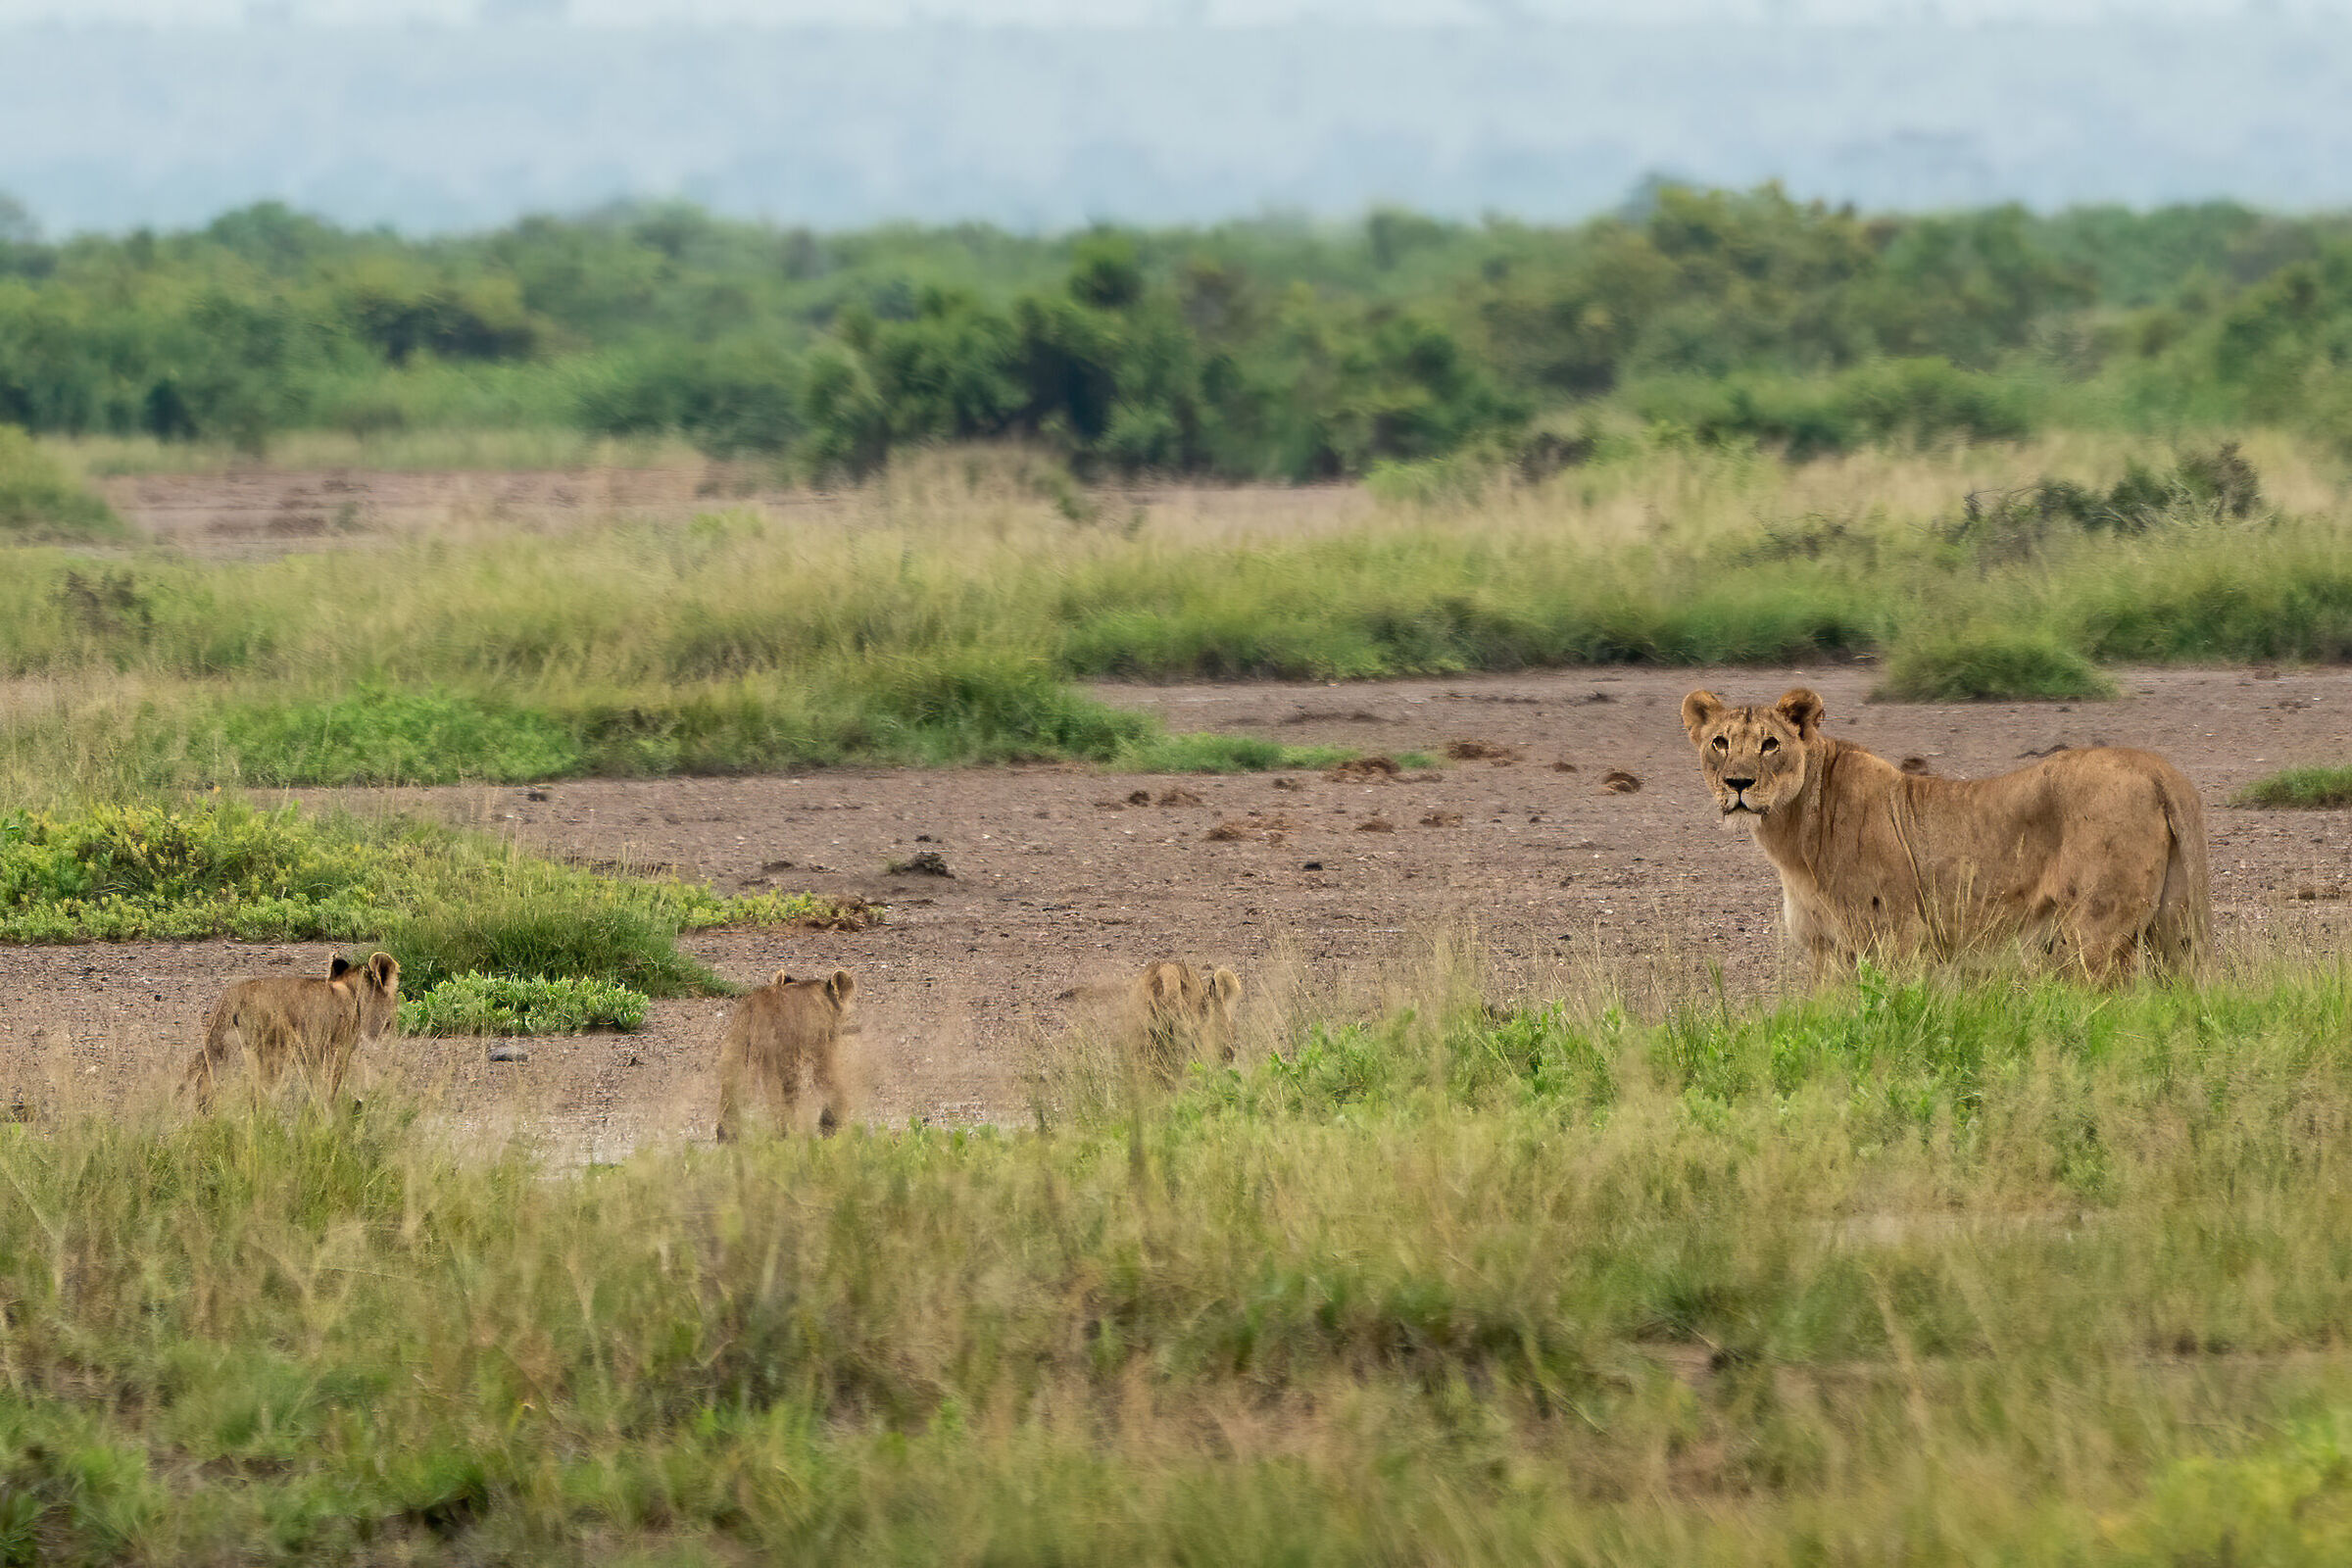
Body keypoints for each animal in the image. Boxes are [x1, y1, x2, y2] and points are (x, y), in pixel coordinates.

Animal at [184, 951, 401, 1109]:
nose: (392, 1024)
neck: (351, 991)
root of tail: (233, 997)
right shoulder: (336, 1051)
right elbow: (330, 1089)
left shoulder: (311, 1055)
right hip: (269, 1055)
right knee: (259, 1097)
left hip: (217, 1051)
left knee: (205, 1088)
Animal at [1681, 687, 2209, 982]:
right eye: (1719, 743)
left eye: (1770, 744)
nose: (1738, 784)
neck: (1790, 839)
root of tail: (2158, 768)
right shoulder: (1826, 952)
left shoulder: (1897, 939)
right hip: (2172, 928)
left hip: (2094, 931)